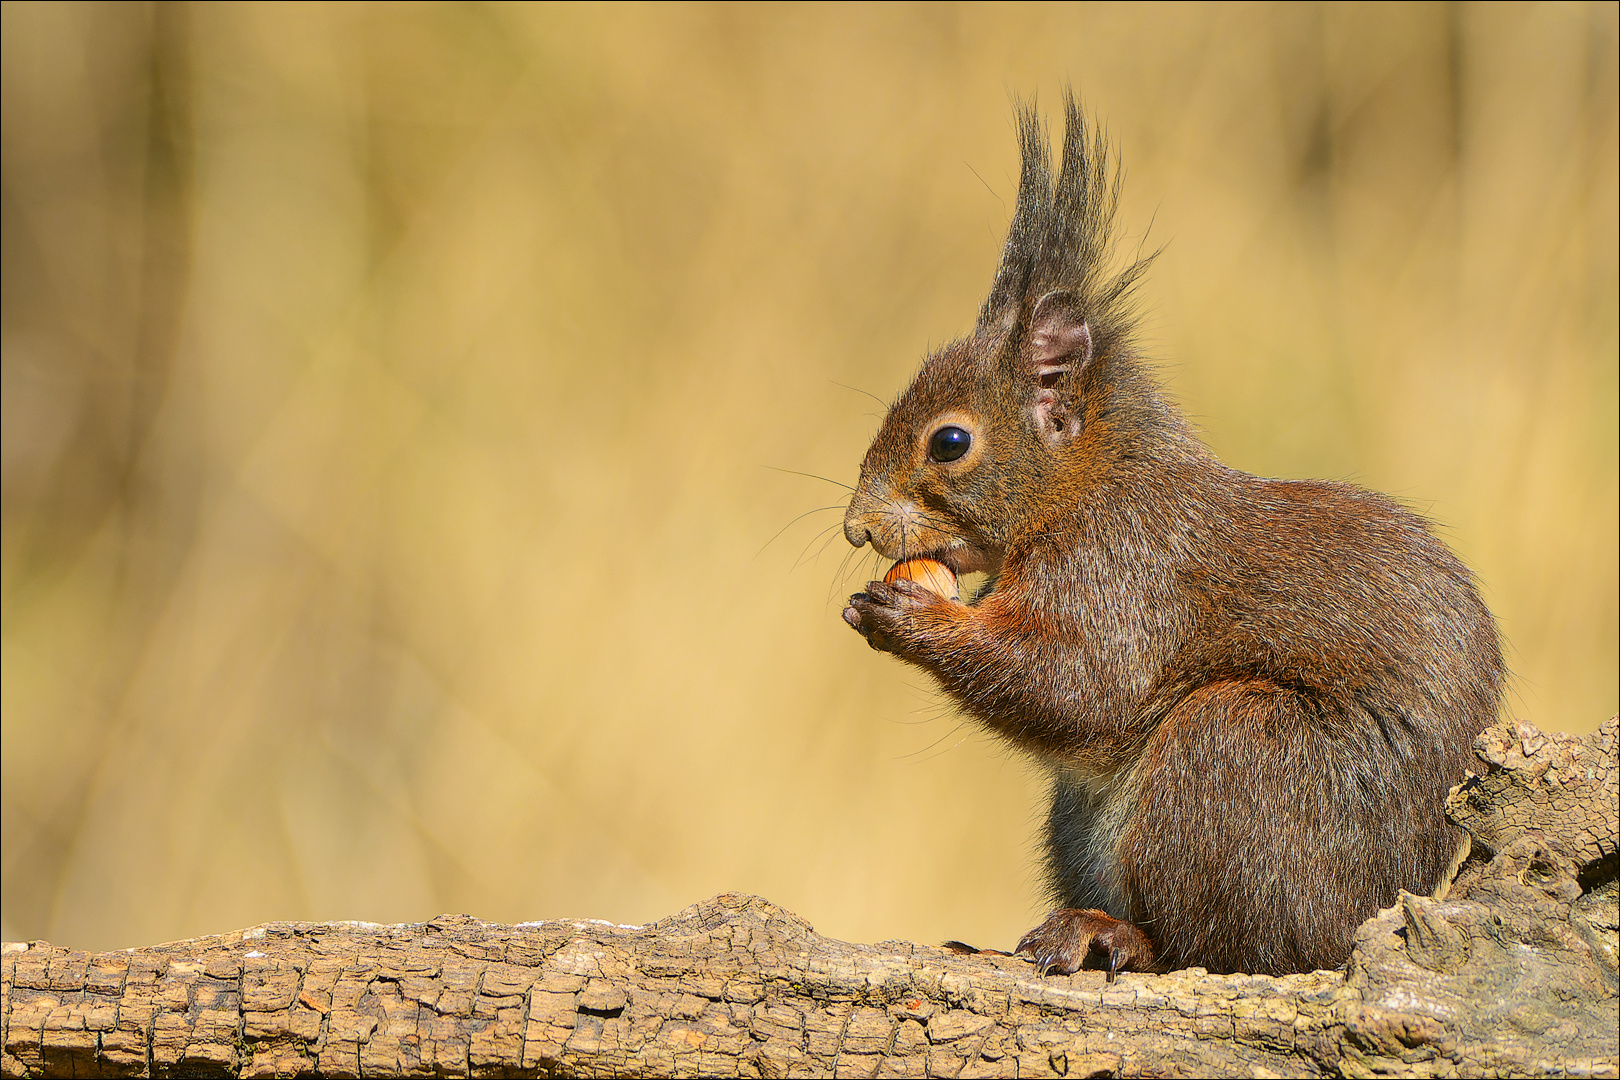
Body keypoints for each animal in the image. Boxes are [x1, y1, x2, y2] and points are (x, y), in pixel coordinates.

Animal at [842, 99, 1496, 977]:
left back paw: (1121, 936)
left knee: (1230, 950)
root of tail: (1378, 905)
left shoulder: (1125, 568)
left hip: (1238, 759)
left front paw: (912, 620)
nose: (857, 527)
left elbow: (1080, 685)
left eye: (949, 442)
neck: (1089, 484)